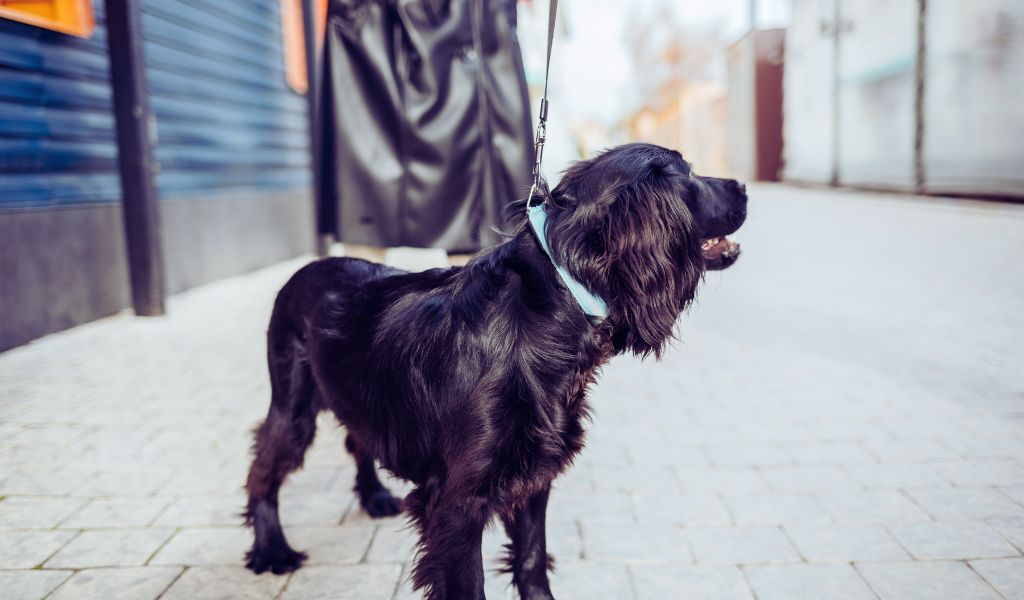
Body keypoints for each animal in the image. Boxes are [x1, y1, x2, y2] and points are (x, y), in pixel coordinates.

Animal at [244, 142, 749, 593]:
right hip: (293, 404)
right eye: (689, 174)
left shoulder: (533, 474)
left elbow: (530, 563)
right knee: (264, 468)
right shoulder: (457, 505)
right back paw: (272, 550)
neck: (554, 303)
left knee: (356, 437)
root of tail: (305, 269)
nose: (743, 186)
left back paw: (373, 496)